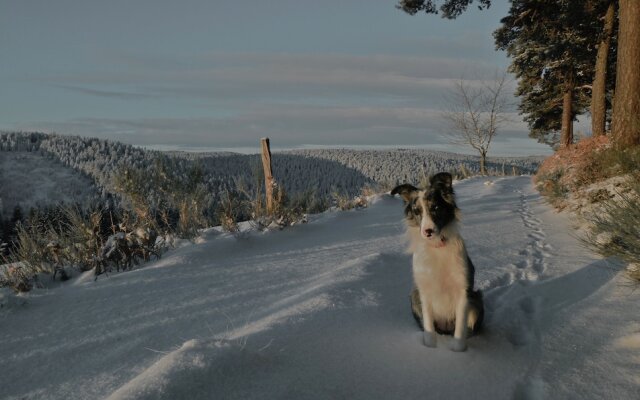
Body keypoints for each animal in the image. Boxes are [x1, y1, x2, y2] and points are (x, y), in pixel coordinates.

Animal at [390, 171, 484, 350]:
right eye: (417, 211)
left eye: (435, 207)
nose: (427, 231)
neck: (437, 247)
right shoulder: (424, 291)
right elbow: (428, 330)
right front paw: (430, 349)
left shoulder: (463, 290)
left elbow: (460, 331)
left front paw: (458, 352)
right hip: (414, 296)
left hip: (477, 298)